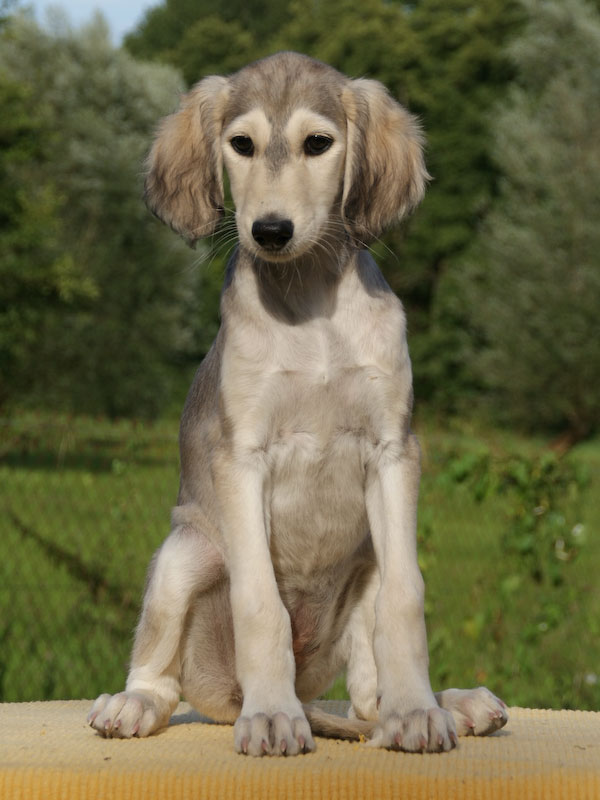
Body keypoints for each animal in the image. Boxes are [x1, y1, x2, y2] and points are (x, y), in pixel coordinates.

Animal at [88, 52, 508, 755]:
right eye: (241, 145)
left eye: (318, 143)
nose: (271, 231)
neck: (312, 314)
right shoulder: (241, 458)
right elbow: (260, 603)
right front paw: (272, 717)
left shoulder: (394, 451)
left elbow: (408, 596)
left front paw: (417, 711)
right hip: (183, 555)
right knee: (162, 674)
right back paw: (139, 704)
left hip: (365, 566)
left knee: (365, 704)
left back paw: (450, 704)